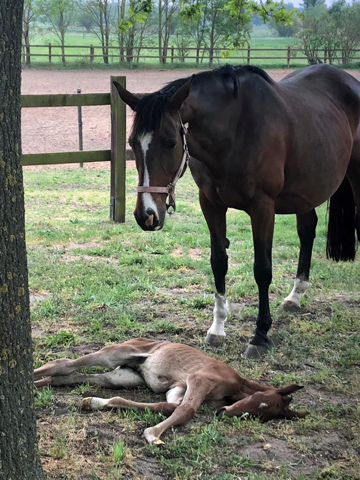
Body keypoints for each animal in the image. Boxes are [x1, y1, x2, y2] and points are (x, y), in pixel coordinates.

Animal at [34, 338, 306, 442]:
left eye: (262, 416)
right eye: (260, 403)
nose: (224, 413)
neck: (236, 383)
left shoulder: (177, 387)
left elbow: (168, 405)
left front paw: (98, 403)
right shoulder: (199, 379)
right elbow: (186, 410)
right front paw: (153, 435)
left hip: (125, 376)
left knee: (70, 376)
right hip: (116, 353)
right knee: (62, 364)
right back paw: (32, 380)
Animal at [113, 63, 360, 358]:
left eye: (171, 142)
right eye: (132, 143)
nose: (146, 215)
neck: (234, 130)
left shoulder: (263, 207)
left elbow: (262, 269)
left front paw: (260, 335)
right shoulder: (210, 203)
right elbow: (218, 262)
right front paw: (217, 328)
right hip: (306, 191)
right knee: (307, 230)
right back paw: (295, 296)